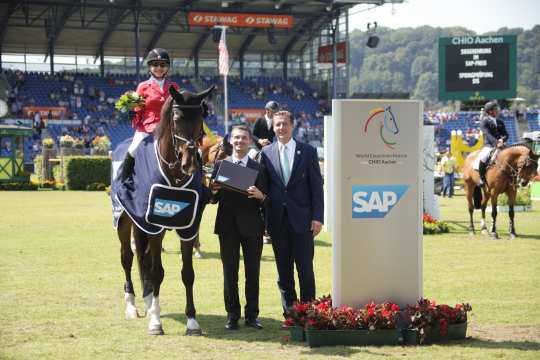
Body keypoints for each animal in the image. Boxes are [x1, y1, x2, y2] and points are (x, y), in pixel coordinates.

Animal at [113, 85, 213, 334]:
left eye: (201, 118)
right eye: (176, 118)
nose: (189, 164)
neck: (174, 176)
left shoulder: (188, 227)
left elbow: (188, 274)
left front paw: (192, 321)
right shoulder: (155, 227)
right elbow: (157, 272)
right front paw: (156, 322)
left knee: (143, 259)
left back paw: (148, 301)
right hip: (123, 220)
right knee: (127, 257)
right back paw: (132, 306)